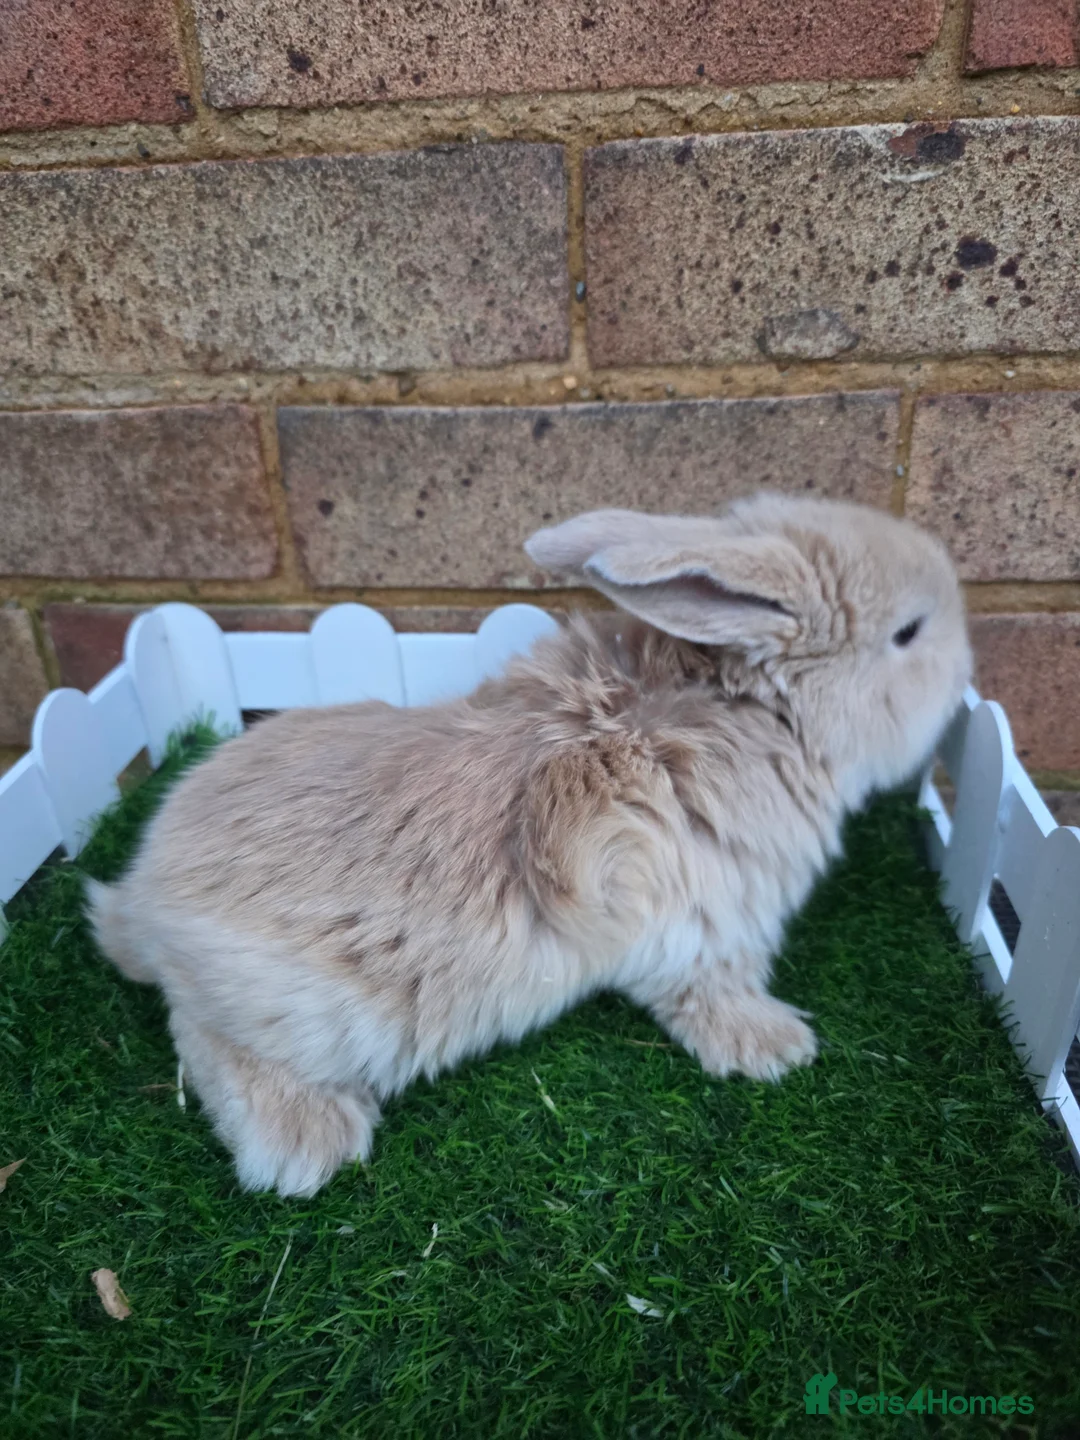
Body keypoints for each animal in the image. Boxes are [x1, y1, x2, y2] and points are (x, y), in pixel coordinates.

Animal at [88, 492, 972, 1197]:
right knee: (203, 1039)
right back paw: (305, 1147)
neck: (755, 712)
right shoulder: (705, 932)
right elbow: (713, 994)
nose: (967, 671)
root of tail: (144, 897)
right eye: (909, 633)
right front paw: (777, 1047)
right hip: (302, 1017)